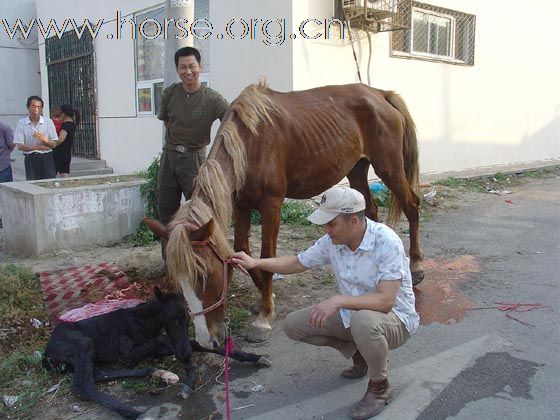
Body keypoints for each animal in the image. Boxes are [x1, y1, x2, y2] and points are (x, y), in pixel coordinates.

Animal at [42, 288, 270, 418]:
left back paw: (160, 374)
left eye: (186, 317)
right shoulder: (128, 356)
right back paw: (136, 413)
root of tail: (46, 354)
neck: (142, 319)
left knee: (98, 374)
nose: (183, 353)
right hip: (84, 344)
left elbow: (199, 344)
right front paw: (188, 376)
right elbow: (162, 339)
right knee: (83, 385)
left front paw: (254, 357)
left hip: (88, 355)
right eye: (171, 318)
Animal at [155, 81, 422, 344]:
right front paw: (265, 298)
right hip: (356, 170)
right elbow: (243, 249)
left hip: (389, 168)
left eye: (206, 275)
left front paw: (263, 317)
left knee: (412, 206)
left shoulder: (271, 204)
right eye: (179, 283)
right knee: (371, 213)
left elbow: (267, 255)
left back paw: (416, 266)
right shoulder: (241, 205)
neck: (251, 142)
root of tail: (380, 93)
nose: (205, 341)